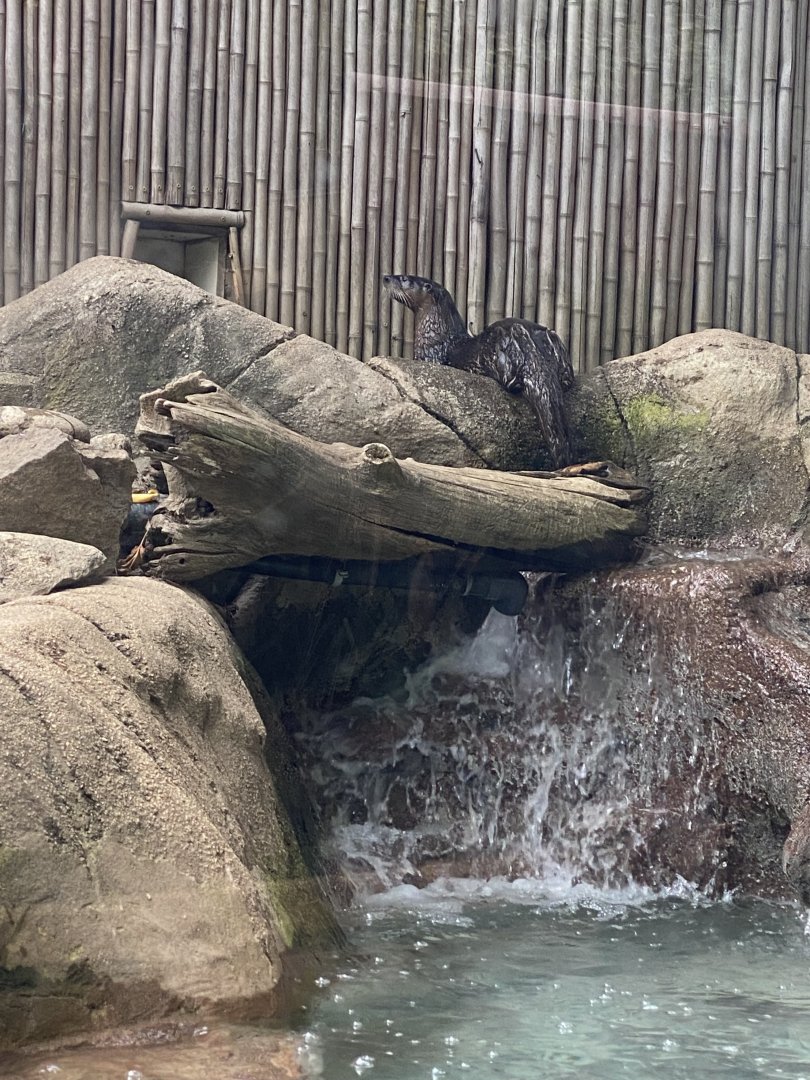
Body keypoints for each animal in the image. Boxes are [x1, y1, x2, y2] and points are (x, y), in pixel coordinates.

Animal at [383, 274, 574, 467]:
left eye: (404, 278)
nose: (386, 278)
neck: (435, 335)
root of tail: (527, 339)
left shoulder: (429, 356)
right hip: (555, 341)